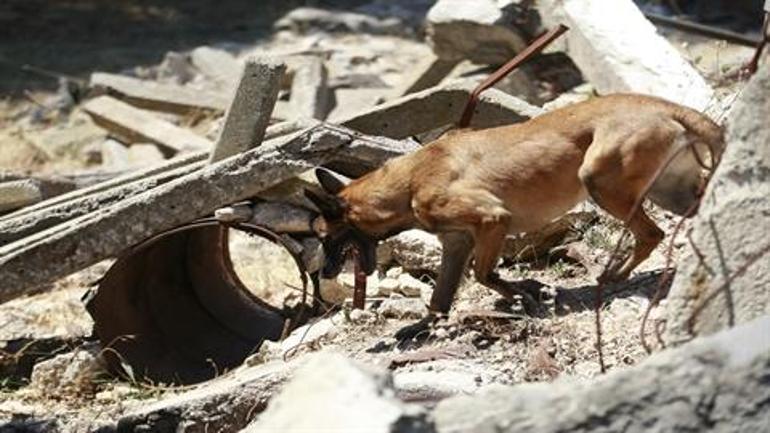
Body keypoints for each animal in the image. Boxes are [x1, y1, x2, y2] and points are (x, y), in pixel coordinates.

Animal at [304, 93, 720, 312]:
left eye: (325, 238)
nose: (323, 273)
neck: (408, 182)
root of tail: (658, 104)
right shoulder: (457, 244)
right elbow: (440, 299)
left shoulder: (492, 220)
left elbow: (484, 274)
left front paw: (523, 296)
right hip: (669, 190)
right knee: (678, 222)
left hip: (601, 182)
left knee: (650, 234)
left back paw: (615, 276)